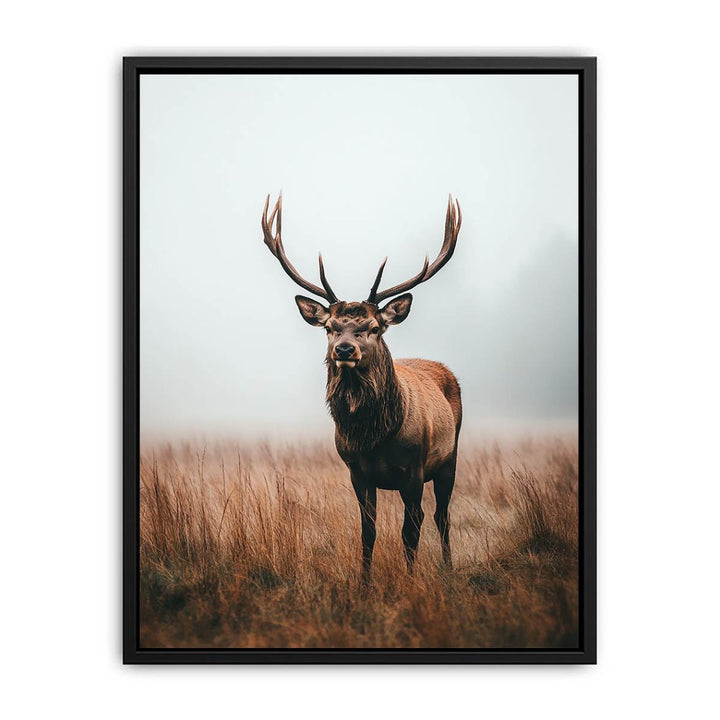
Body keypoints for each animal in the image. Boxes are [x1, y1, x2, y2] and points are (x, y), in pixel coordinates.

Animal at [261, 193, 463, 583]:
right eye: (330, 328)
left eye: (372, 328)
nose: (344, 349)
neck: (374, 437)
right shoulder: (356, 471)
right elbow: (367, 530)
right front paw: (364, 582)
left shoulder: (413, 470)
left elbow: (410, 529)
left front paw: (410, 581)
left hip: (450, 457)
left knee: (442, 516)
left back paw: (449, 567)